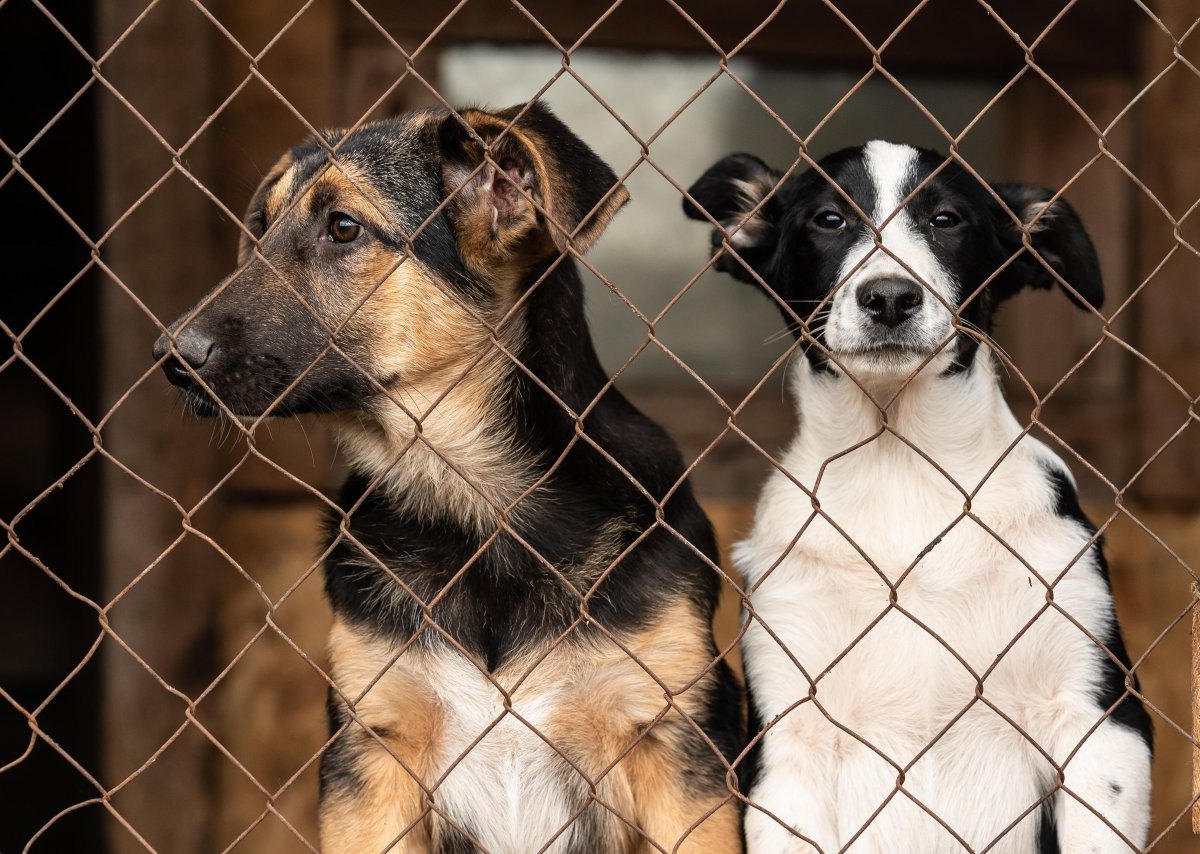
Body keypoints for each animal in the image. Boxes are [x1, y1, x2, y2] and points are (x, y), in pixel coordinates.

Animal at [154, 103, 744, 849]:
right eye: (259, 227)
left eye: (343, 227)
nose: (169, 357)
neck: (474, 501)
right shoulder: (370, 751)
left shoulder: (675, 741)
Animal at [686, 143, 1152, 849]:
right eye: (828, 219)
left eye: (945, 219)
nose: (889, 298)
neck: (899, 464)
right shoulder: (787, 743)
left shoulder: (1101, 720)